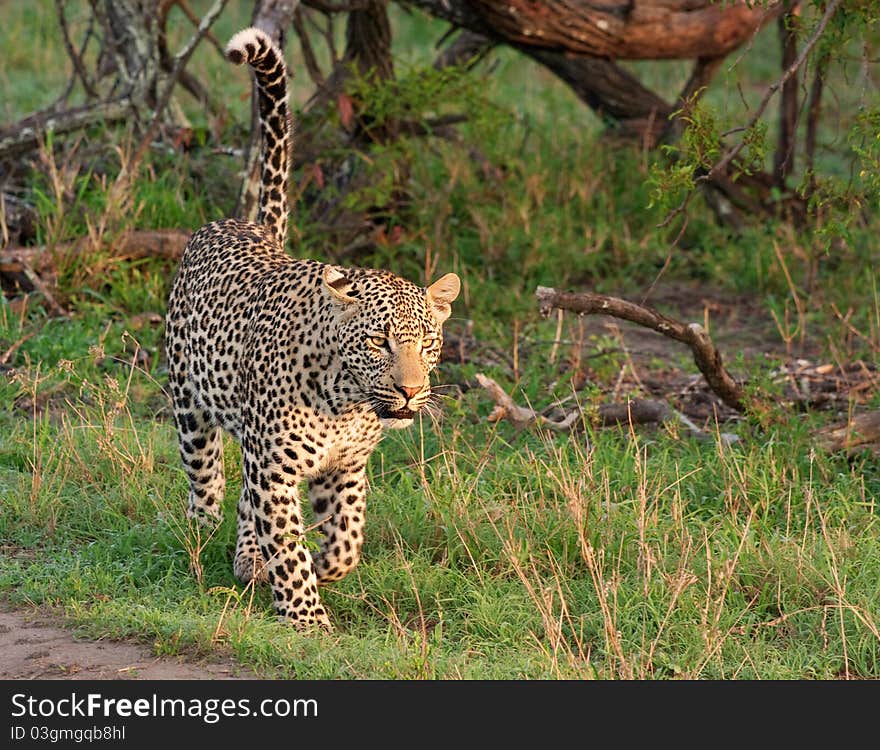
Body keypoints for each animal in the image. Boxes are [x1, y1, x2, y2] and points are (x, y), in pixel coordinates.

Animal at [163, 26, 460, 632]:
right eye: (378, 342)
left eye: (426, 344)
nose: (411, 391)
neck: (345, 400)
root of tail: (246, 226)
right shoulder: (275, 467)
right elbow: (287, 539)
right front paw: (307, 620)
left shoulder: (345, 467)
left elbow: (347, 536)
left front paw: (326, 566)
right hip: (191, 408)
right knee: (209, 482)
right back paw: (203, 538)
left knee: (243, 501)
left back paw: (249, 558)